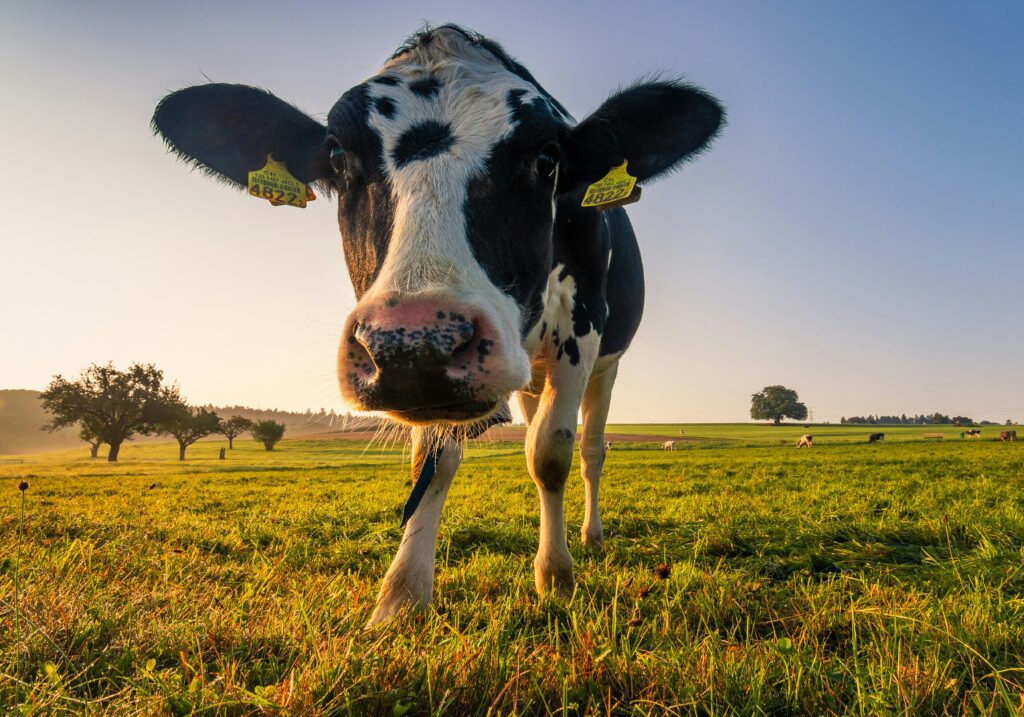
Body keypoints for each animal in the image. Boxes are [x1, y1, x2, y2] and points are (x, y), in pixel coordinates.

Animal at [151, 25, 724, 622]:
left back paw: (589, 534)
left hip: (606, 365)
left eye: (547, 160)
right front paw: (402, 595)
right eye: (337, 158)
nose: (415, 343)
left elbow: (551, 453)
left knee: (590, 451)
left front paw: (555, 576)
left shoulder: (582, 325)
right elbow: (433, 461)